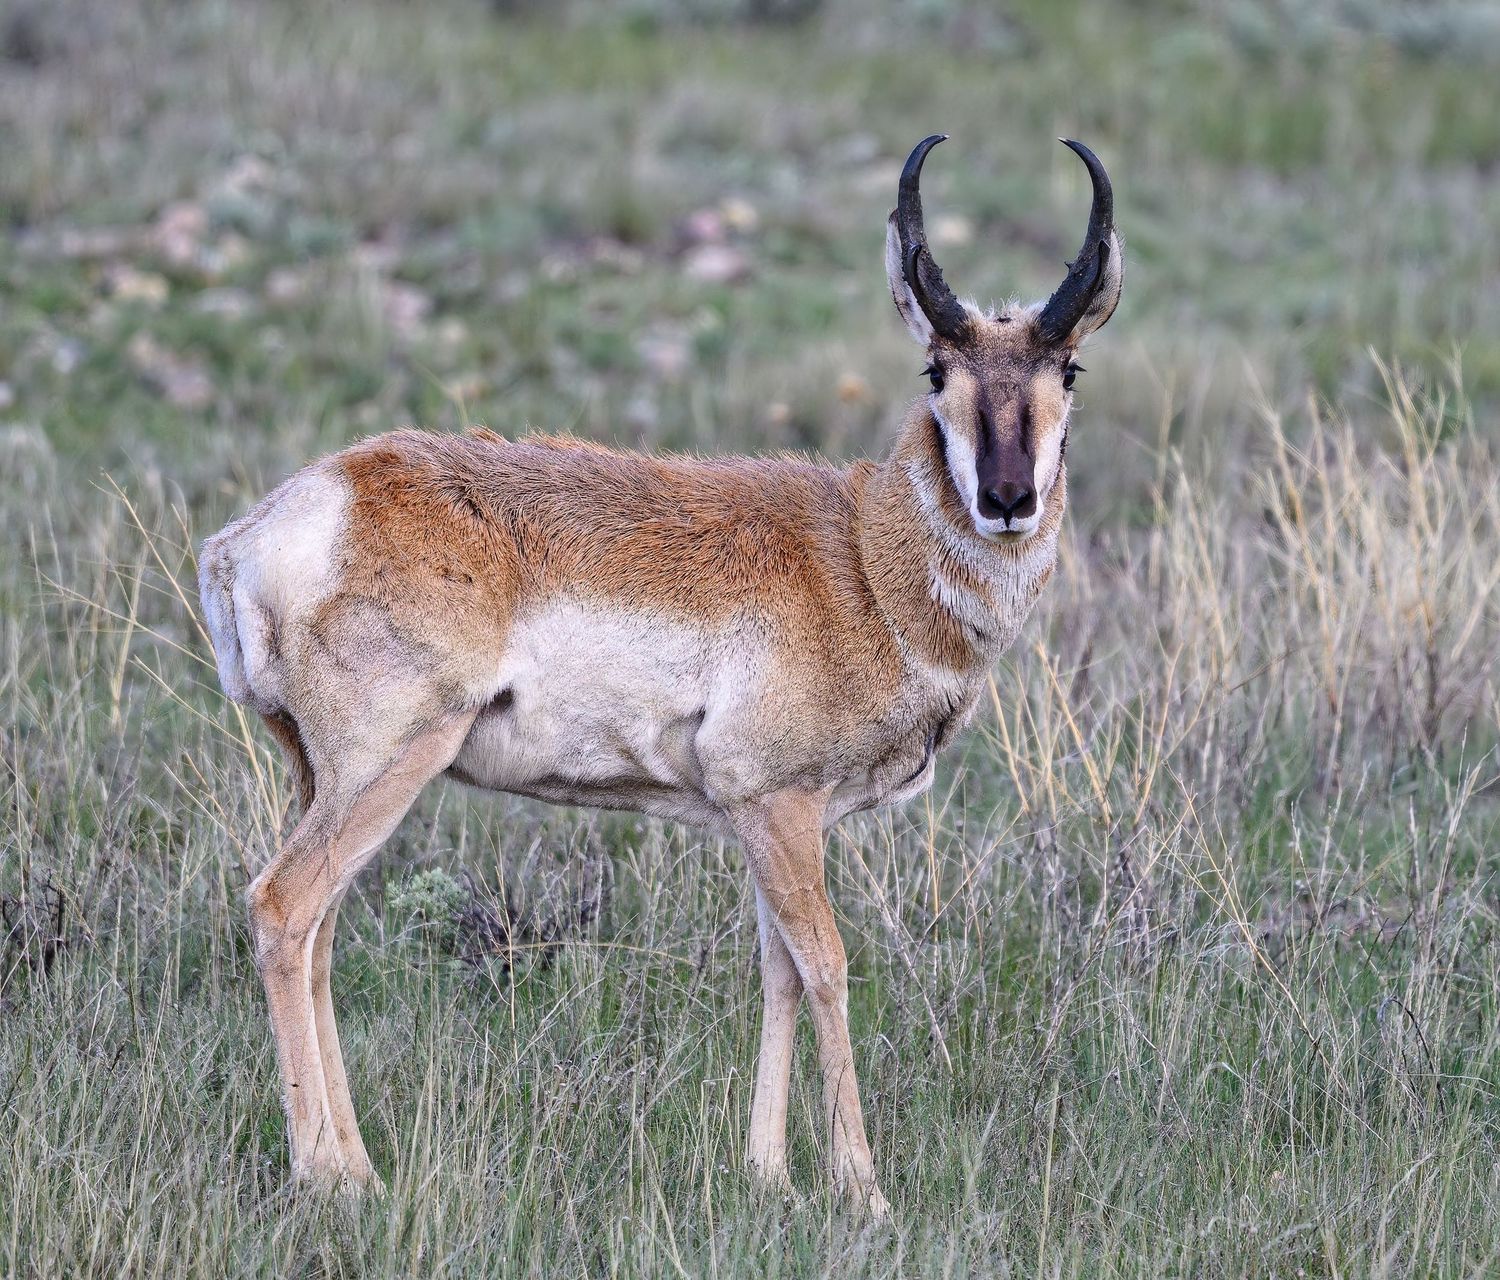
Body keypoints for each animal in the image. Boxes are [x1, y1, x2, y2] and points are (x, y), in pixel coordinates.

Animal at [198, 135, 1122, 1215]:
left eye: (1069, 365)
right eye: (938, 366)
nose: (1008, 498)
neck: (858, 557)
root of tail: (277, 521)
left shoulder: (773, 818)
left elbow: (776, 971)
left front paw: (767, 1172)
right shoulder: (780, 803)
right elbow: (827, 965)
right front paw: (862, 1187)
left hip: (326, 779)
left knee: (321, 934)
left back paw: (353, 1162)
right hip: (390, 766)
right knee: (284, 907)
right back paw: (331, 1175)